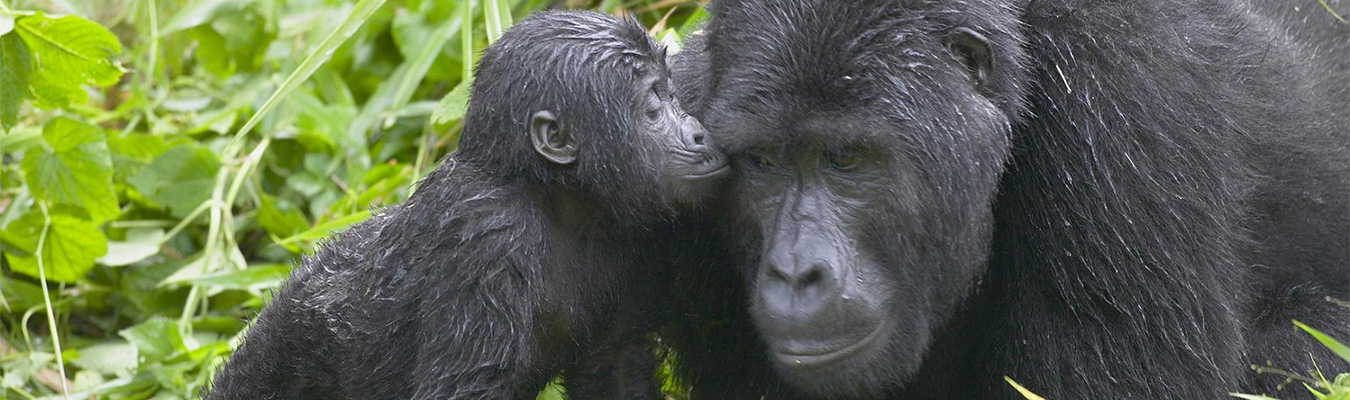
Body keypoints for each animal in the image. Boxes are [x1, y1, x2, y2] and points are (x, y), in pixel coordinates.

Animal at [202, 10, 729, 397]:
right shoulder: (489, 237)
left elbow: (615, 364)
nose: (698, 133)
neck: (556, 197)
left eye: (672, 93)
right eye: (654, 108)